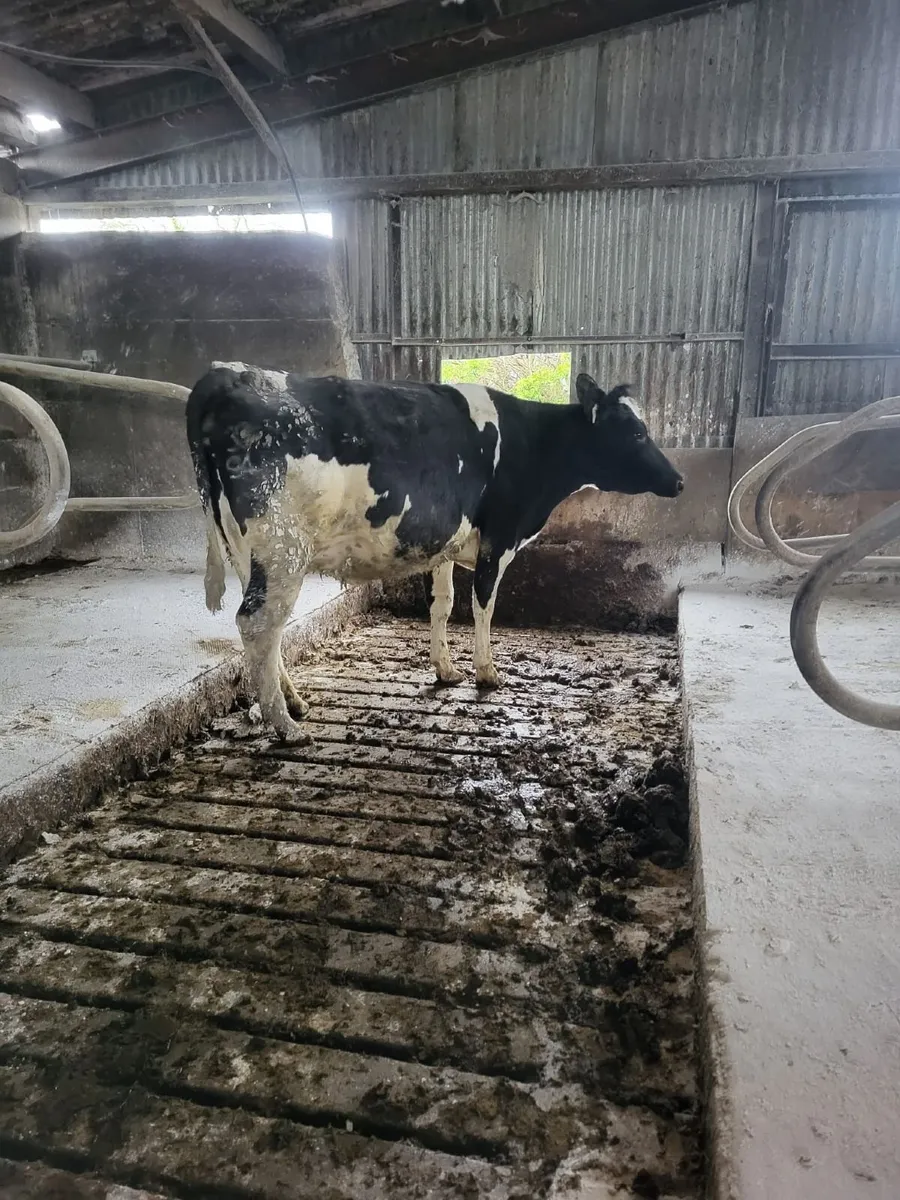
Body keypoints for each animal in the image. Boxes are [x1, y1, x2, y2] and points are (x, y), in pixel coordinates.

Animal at [186, 364, 683, 741]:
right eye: (637, 432)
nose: (679, 481)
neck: (535, 448)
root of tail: (226, 376)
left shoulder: (444, 546)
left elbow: (442, 605)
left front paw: (446, 670)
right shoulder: (500, 539)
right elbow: (483, 605)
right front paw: (487, 673)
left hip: (249, 553)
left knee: (264, 631)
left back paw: (294, 702)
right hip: (281, 547)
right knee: (259, 624)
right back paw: (286, 726)